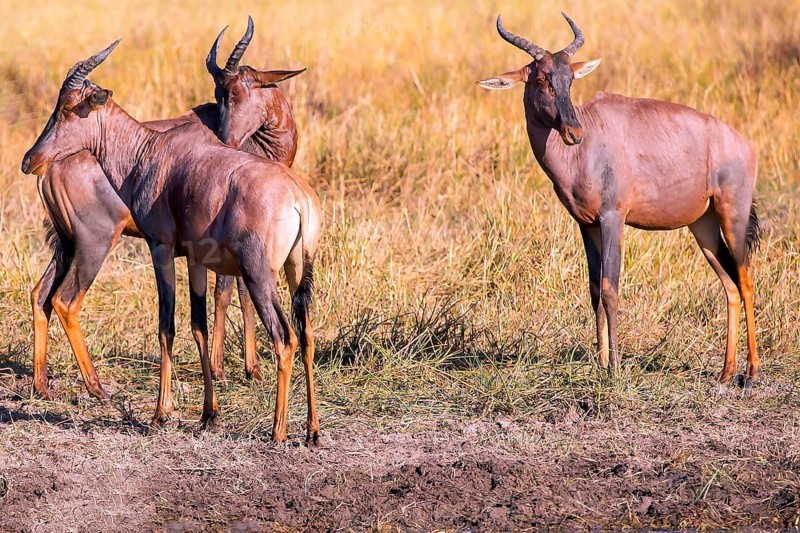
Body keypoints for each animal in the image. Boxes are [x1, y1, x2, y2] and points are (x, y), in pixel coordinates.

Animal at [22, 41, 323, 443]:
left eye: (69, 108)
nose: (29, 160)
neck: (150, 151)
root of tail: (298, 198)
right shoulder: (192, 257)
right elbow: (197, 325)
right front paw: (208, 413)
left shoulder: (163, 249)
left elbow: (171, 325)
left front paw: (162, 414)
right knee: (304, 335)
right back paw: (310, 430)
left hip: (253, 272)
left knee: (287, 337)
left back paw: (278, 431)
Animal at [477, 13, 761, 383]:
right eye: (542, 78)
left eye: (570, 79)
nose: (573, 132)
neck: (587, 147)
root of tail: (744, 144)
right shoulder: (586, 225)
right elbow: (594, 289)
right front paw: (600, 363)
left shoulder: (613, 217)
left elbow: (611, 287)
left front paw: (613, 368)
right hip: (704, 227)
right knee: (729, 285)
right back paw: (726, 372)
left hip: (733, 215)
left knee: (745, 278)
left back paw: (752, 371)